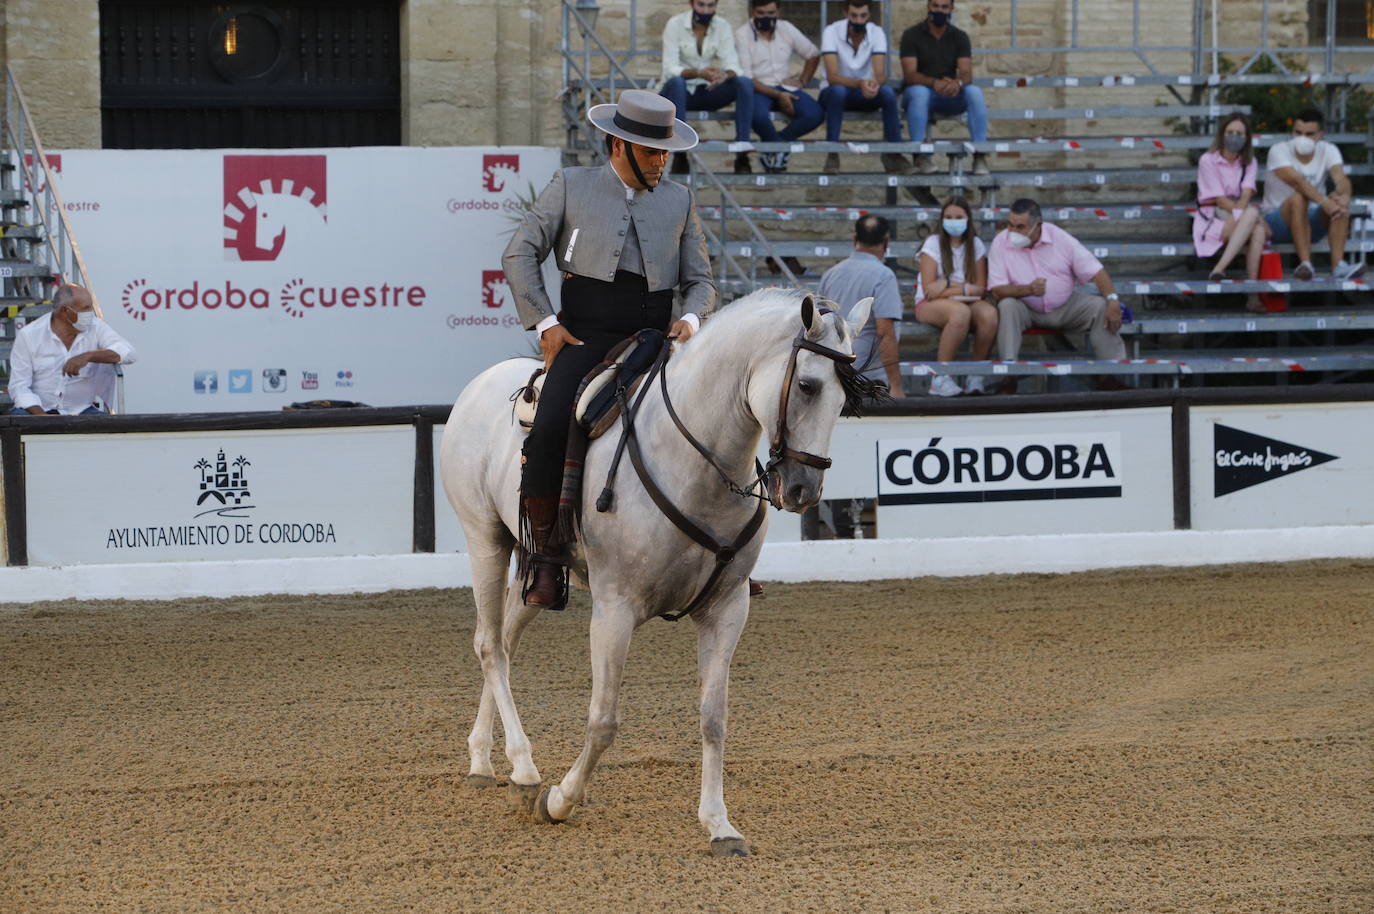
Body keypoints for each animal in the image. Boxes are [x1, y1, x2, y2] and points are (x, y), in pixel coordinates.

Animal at [436, 287, 868, 857]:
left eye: (844, 401)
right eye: (807, 384)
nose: (803, 490)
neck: (697, 462)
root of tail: (480, 383)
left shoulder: (728, 609)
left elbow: (713, 718)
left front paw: (719, 825)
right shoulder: (615, 610)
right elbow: (603, 720)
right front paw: (561, 801)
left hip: (535, 573)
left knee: (505, 640)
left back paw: (485, 759)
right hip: (484, 539)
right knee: (489, 645)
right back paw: (526, 771)